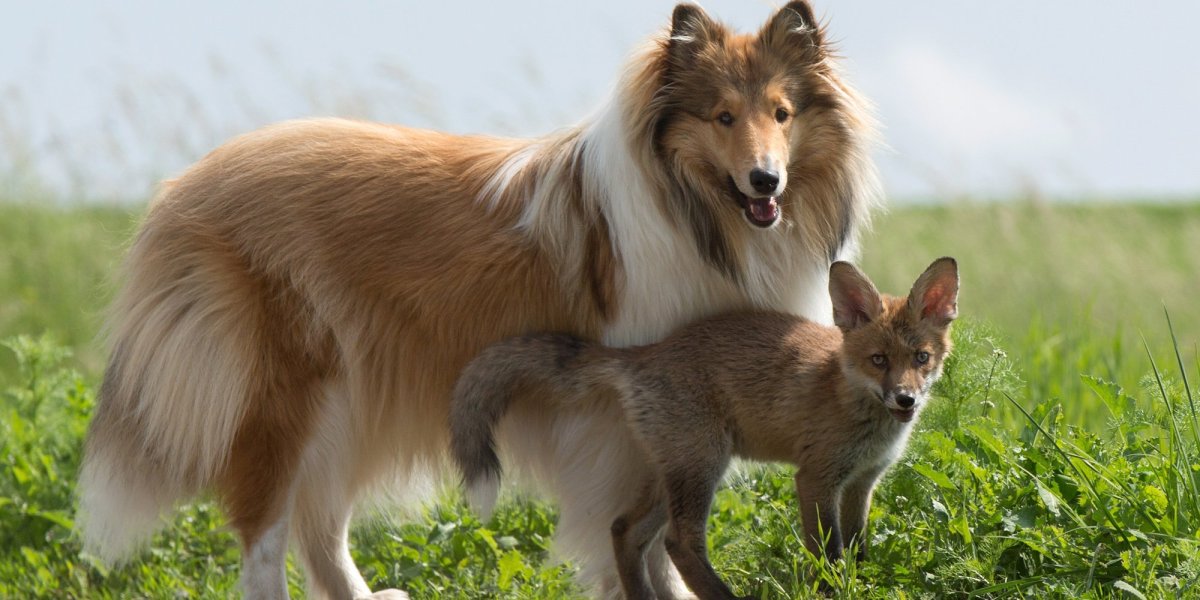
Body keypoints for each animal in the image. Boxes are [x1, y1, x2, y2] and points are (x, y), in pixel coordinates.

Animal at [449, 257, 959, 600]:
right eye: (879, 360)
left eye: (921, 359)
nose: (906, 400)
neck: (849, 398)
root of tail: (646, 353)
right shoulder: (816, 479)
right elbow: (828, 556)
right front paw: (833, 590)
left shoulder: (861, 483)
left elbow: (856, 551)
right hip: (702, 467)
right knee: (679, 543)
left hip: (674, 473)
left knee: (624, 530)